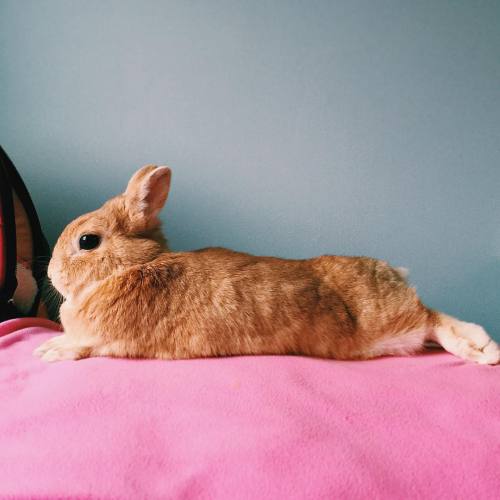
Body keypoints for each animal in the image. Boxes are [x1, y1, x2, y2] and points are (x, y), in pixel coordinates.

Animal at [33, 164, 498, 364]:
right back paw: (481, 351)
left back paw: (484, 353)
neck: (131, 267)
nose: (51, 273)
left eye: (87, 241)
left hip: (388, 322)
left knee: (433, 318)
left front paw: (49, 351)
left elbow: (83, 347)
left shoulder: (108, 340)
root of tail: (394, 275)